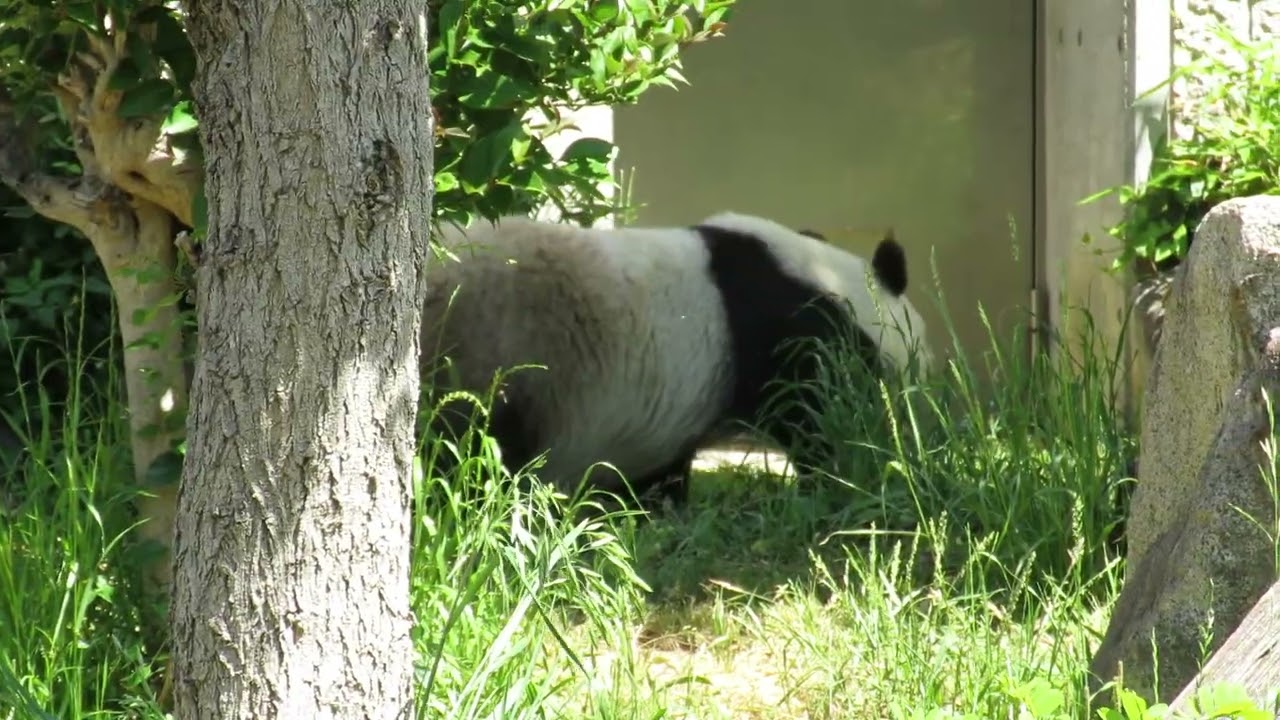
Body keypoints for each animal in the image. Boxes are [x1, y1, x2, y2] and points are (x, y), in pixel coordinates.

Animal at [420, 211, 932, 508]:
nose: (915, 420)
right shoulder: (789, 338)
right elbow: (814, 418)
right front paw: (846, 477)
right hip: (498, 353)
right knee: (471, 448)